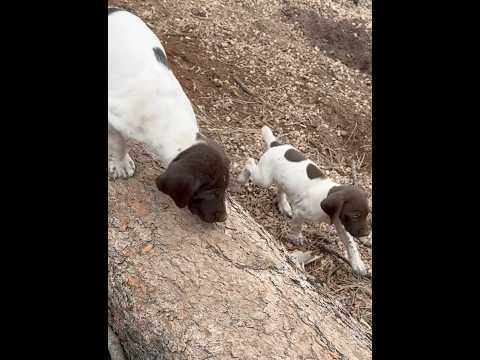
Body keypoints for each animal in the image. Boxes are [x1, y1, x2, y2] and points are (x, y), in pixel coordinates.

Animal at [237, 126, 372, 276]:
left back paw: (284, 206)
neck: (328, 193)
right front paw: (296, 237)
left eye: (367, 214)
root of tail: (276, 145)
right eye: (355, 215)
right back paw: (241, 178)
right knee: (249, 162)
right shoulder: (300, 213)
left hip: (280, 180)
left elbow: (351, 244)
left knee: (280, 189)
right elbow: (297, 226)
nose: (366, 234)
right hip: (264, 179)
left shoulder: (341, 223)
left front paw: (357, 263)